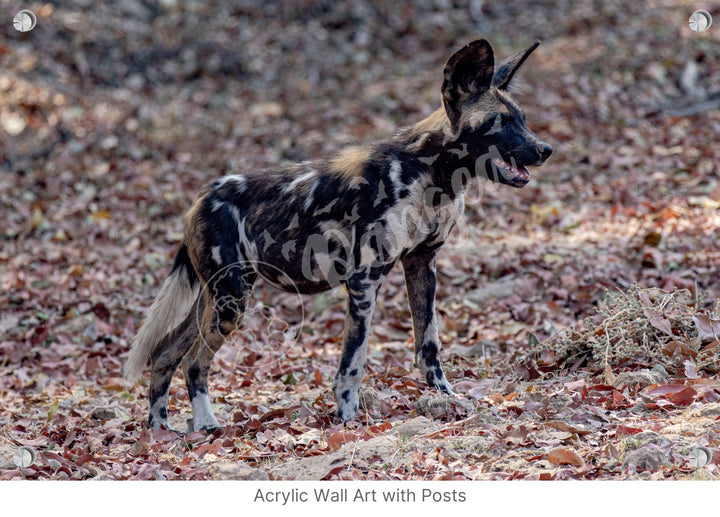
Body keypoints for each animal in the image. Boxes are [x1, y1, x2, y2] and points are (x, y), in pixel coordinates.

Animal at [124, 38, 552, 430]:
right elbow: (353, 363)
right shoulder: (364, 282)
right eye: (499, 123)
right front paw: (347, 420)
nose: (546, 149)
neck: (431, 175)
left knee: (164, 355)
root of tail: (198, 199)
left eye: (523, 119)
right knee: (194, 362)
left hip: (215, 298)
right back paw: (206, 427)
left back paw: (160, 430)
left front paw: (447, 398)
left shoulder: (422, 265)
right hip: (231, 302)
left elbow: (428, 345)